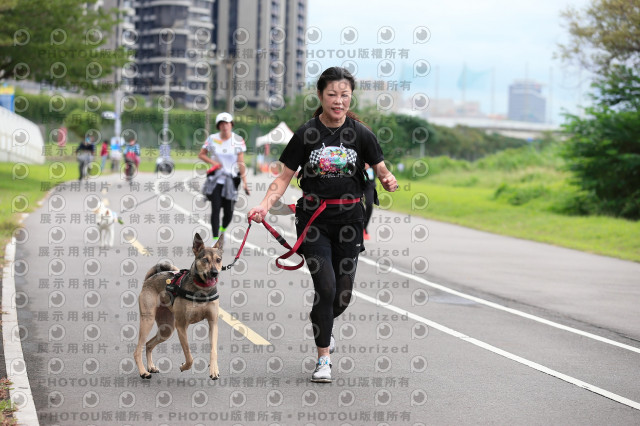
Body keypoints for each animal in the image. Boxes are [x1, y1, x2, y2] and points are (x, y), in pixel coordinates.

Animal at [132, 233, 222, 380]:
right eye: (205, 260)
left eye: (218, 260)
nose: (215, 273)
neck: (202, 288)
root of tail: (149, 279)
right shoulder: (181, 326)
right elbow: (189, 356)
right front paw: (184, 366)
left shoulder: (213, 323)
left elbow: (213, 350)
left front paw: (214, 370)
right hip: (148, 321)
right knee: (138, 349)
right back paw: (143, 372)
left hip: (166, 329)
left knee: (148, 344)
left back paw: (150, 366)